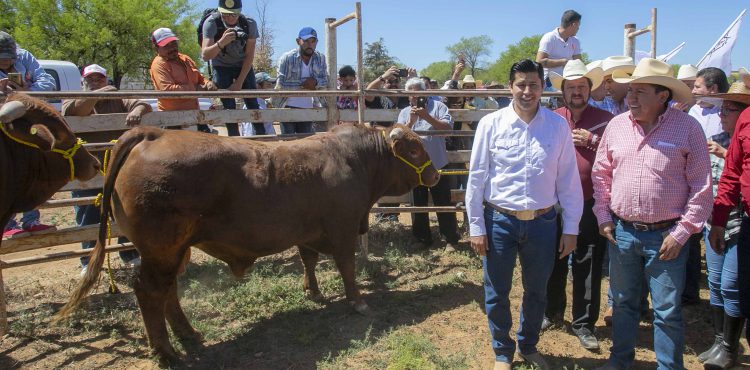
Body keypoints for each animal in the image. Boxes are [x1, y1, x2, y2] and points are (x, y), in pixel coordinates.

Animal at [61, 123, 444, 362]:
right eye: (413, 148)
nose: (436, 174)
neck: (354, 159)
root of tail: (153, 134)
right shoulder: (343, 227)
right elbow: (347, 267)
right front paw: (357, 301)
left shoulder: (308, 231)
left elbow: (308, 260)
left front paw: (313, 291)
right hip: (161, 250)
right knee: (150, 292)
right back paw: (166, 351)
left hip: (174, 252)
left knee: (168, 292)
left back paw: (188, 334)